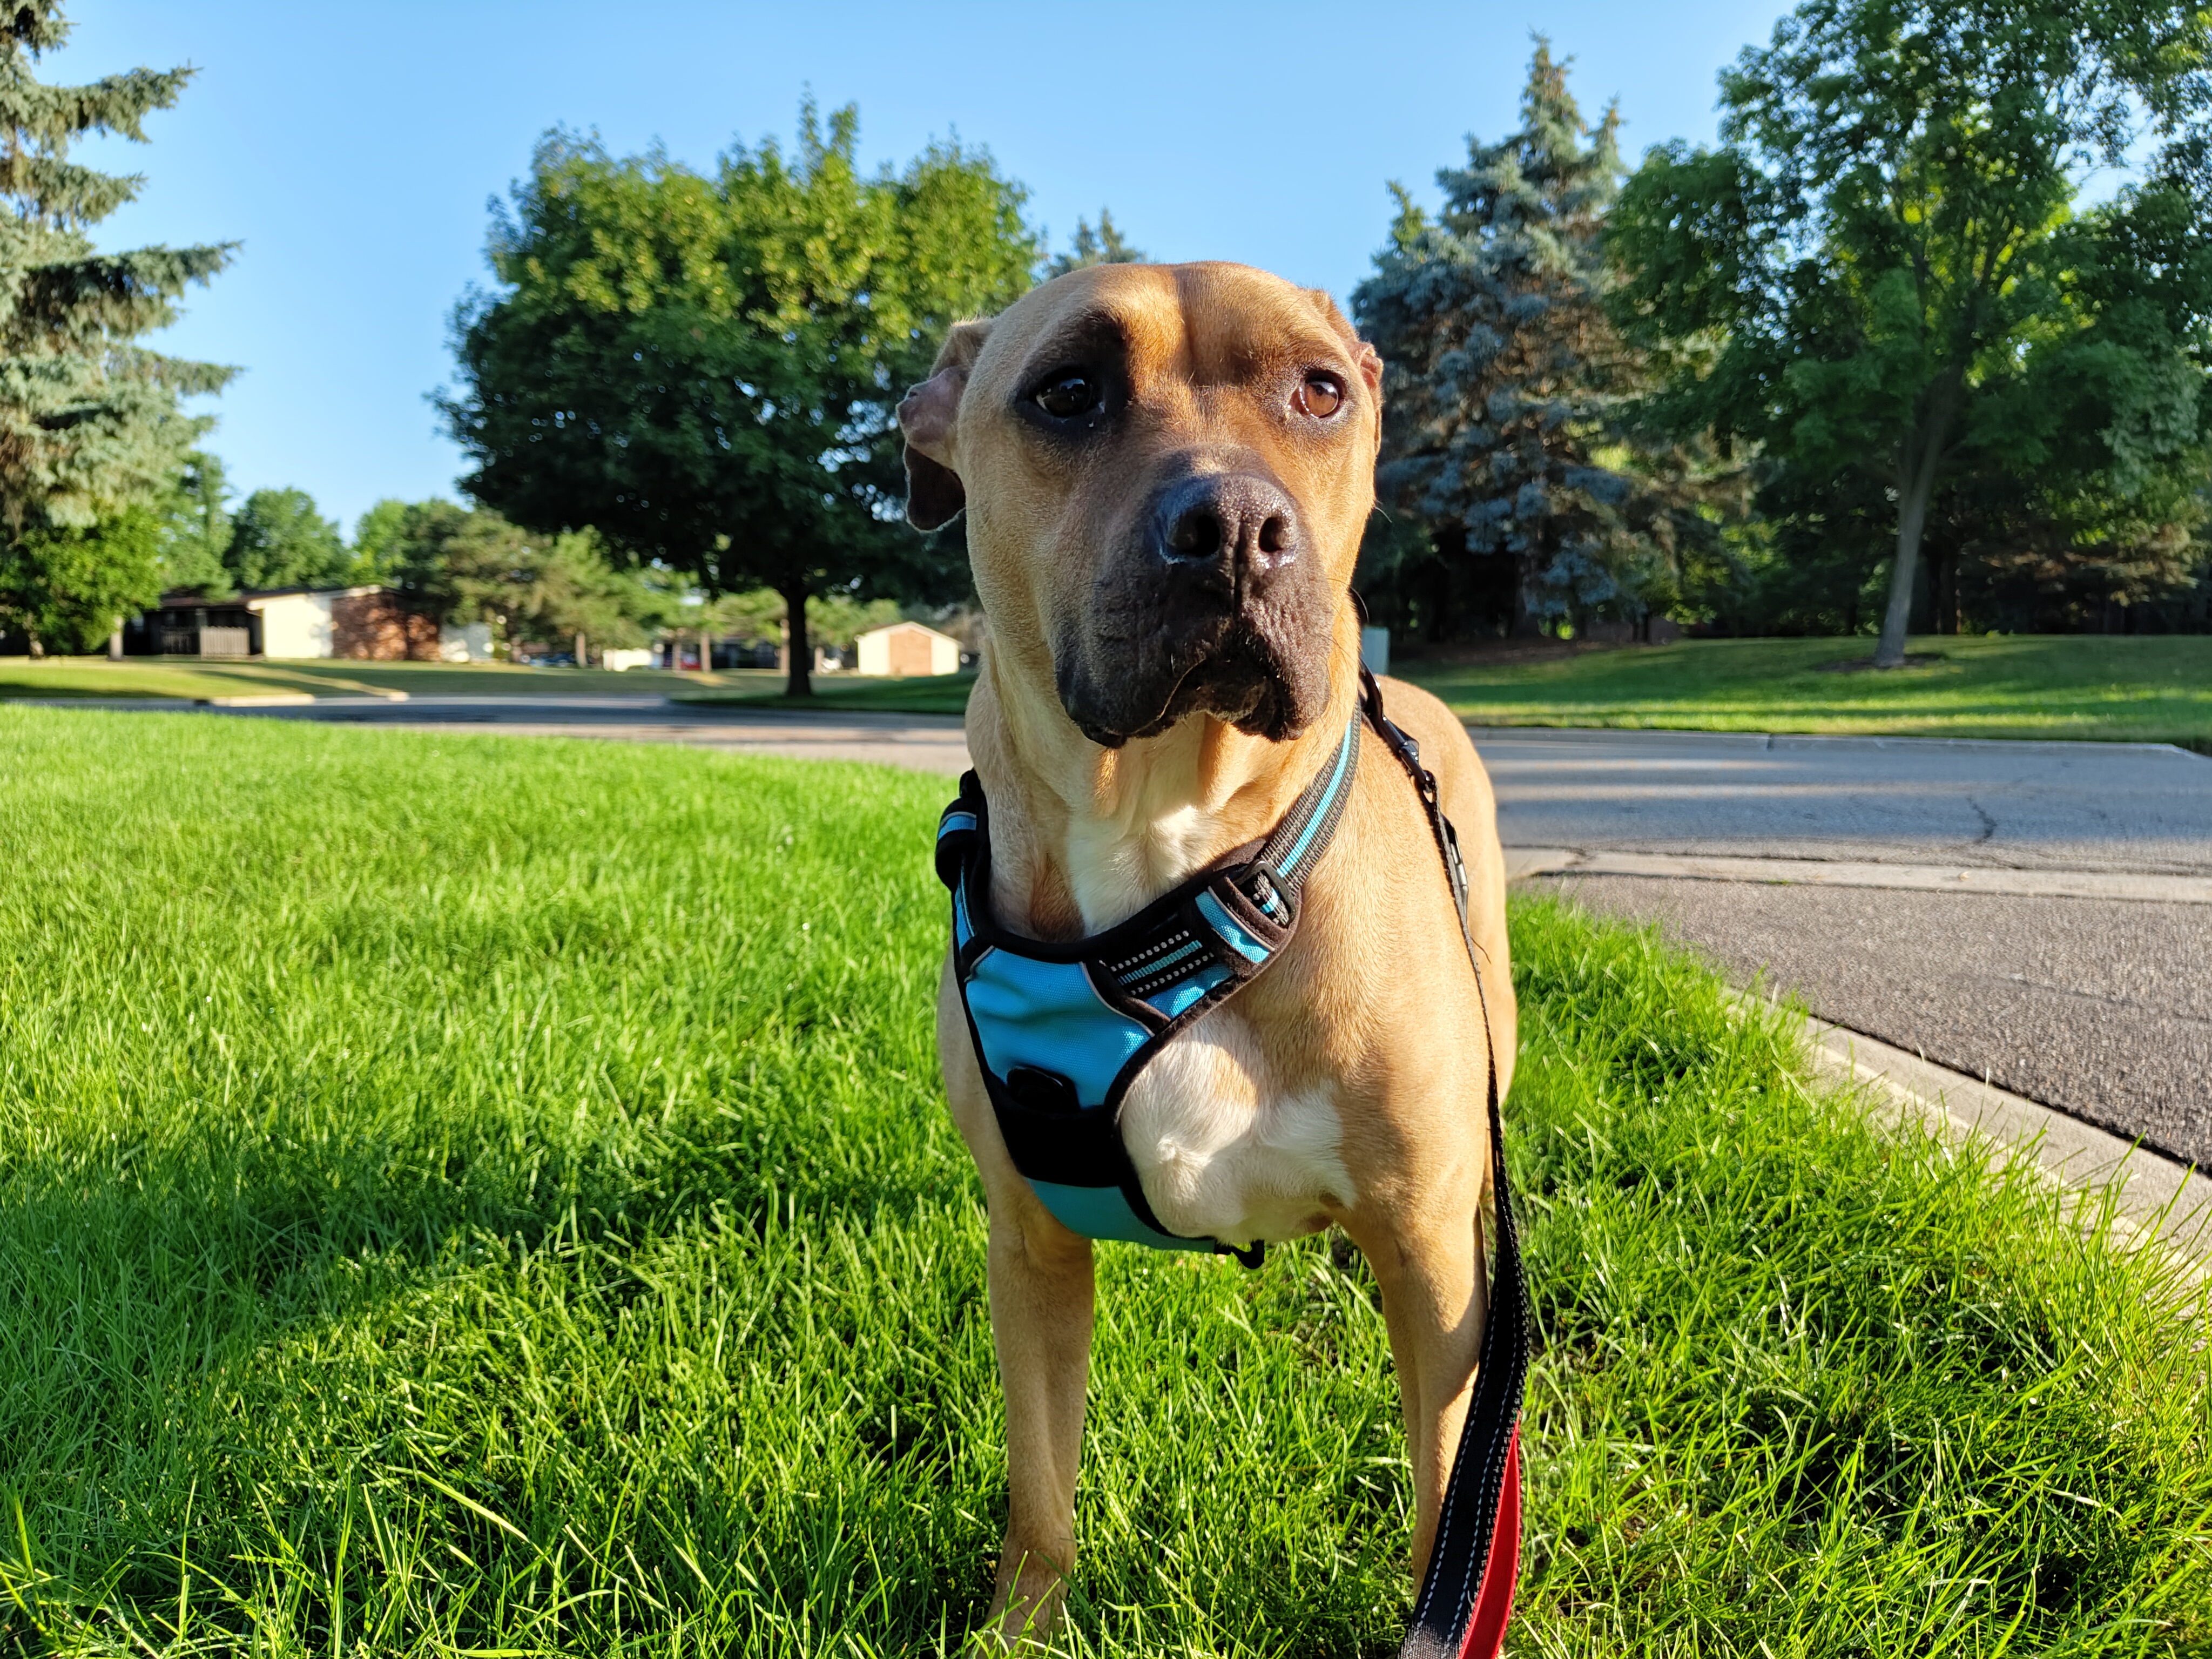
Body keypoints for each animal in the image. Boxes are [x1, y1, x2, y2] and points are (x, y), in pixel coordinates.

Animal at [902, 263, 1522, 1654]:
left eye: (1321, 390)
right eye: (1067, 391)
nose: (1237, 524)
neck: (1172, 846)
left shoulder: (1434, 1269)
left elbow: (1447, 1502)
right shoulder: (1030, 1245)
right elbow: (1040, 1485)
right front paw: (1027, 1620)